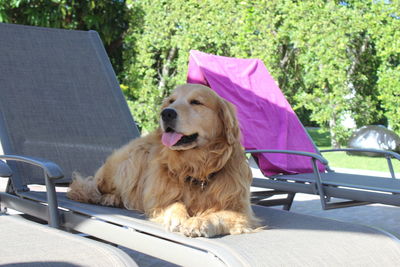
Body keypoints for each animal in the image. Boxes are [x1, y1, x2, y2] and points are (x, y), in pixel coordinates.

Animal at [68, 84, 260, 239]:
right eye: (171, 101)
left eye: (196, 102)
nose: (166, 113)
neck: (197, 167)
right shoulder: (157, 200)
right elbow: (174, 204)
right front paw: (179, 217)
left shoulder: (241, 212)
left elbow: (218, 215)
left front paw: (198, 222)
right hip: (131, 160)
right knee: (95, 187)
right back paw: (110, 198)